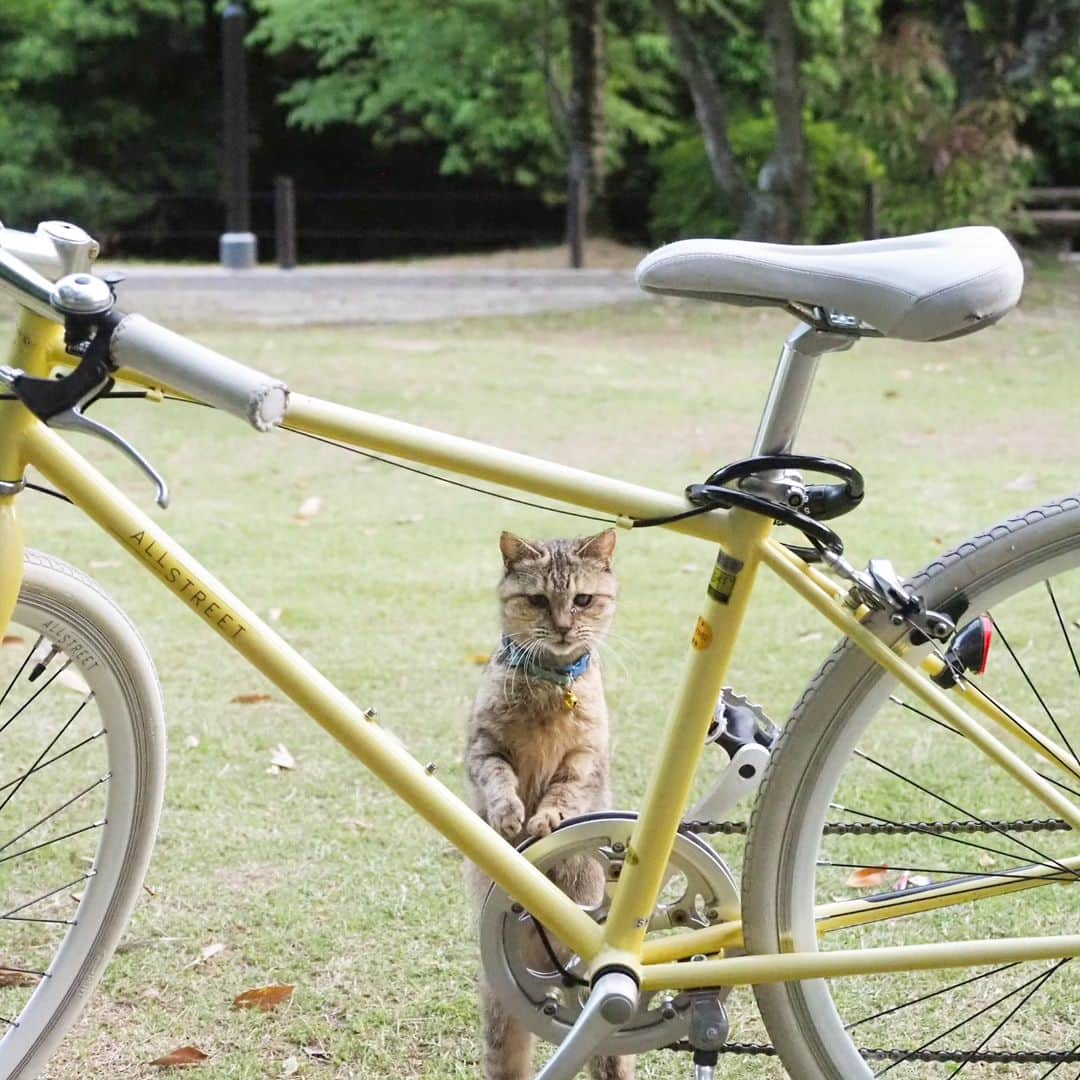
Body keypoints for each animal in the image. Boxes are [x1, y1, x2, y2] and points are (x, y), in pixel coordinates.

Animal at [466, 529, 630, 1080]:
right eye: (538, 600)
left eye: (582, 600)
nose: (561, 626)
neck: (549, 687)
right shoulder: (483, 748)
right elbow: (499, 779)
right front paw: (508, 813)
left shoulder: (584, 758)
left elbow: (564, 792)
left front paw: (546, 817)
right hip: (500, 1012)